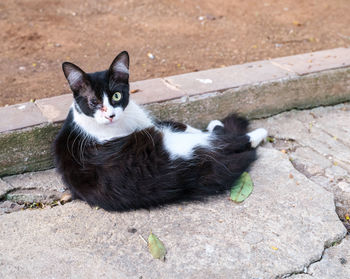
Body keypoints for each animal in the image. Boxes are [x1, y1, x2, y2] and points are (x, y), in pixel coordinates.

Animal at [54, 50, 268, 212]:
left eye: (116, 96)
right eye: (93, 102)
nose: (111, 116)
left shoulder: (148, 124)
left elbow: (178, 124)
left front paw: (210, 124)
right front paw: (220, 127)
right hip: (175, 146)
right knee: (227, 142)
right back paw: (256, 134)